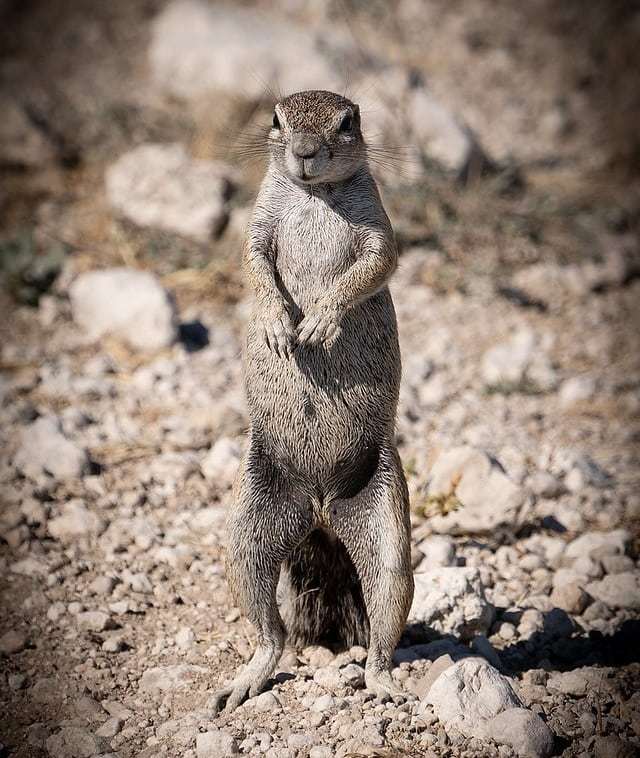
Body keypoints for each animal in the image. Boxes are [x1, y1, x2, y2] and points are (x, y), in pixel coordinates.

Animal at [211, 90, 414, 713]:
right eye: (275, 119)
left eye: (348, 121)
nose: (302, 152)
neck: (315, 194)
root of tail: (321, 513)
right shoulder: (259, 223)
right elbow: (253, 260)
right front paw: (280, 323)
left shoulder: (378, 227)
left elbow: (376, 261)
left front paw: (322, 318)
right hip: (246, 535)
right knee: (269, 631)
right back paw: (248, 678)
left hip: (388, 531)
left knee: (385, 616)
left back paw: (382, 681)